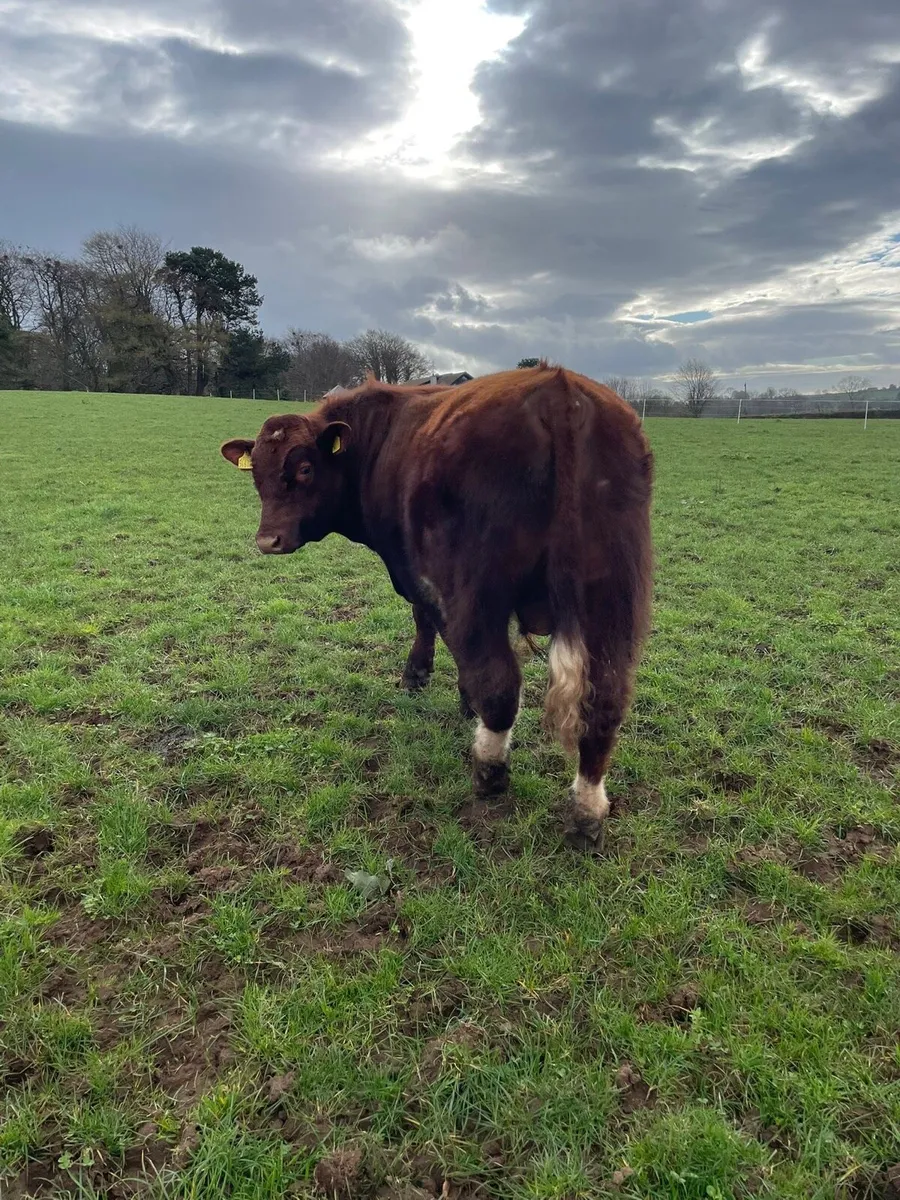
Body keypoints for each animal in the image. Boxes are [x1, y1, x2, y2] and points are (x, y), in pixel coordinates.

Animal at [221, 363, 653, 852]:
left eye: (306, 468)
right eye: (256, 472)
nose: (267, 540)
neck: (376, 441)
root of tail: (560, 393)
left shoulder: (418, 573)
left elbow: (431, 625)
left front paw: (426, 679)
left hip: (479, 585)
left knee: (499, 683)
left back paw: (488, 770)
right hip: (613, 595)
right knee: (605, 701)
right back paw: (587, 812)